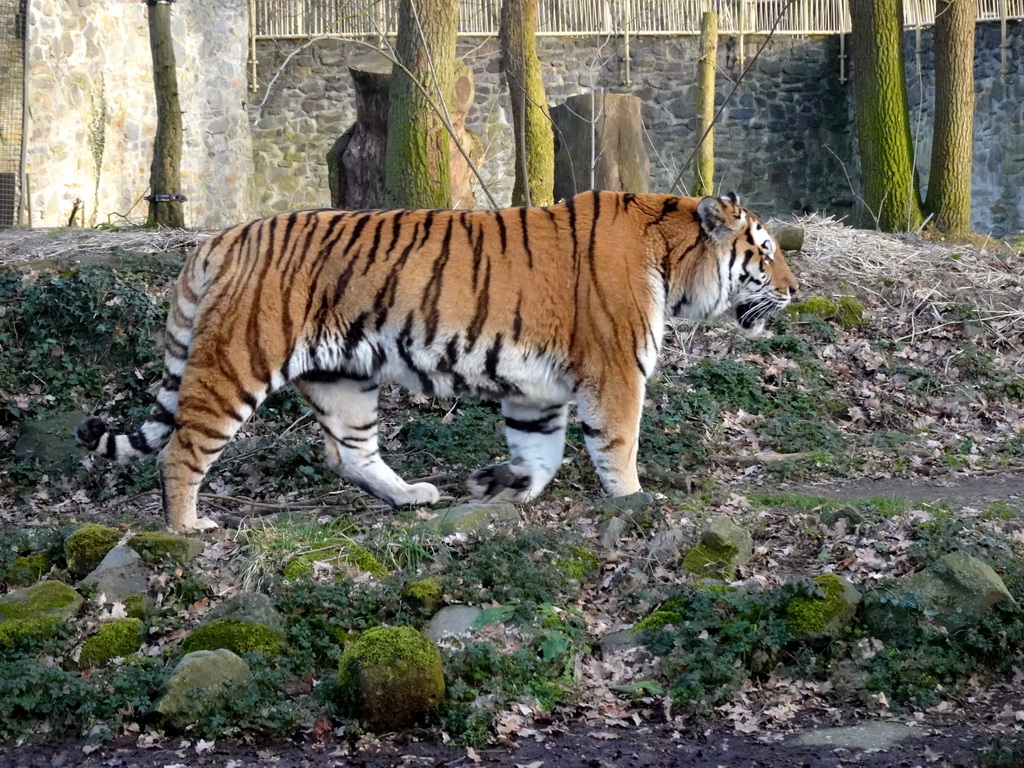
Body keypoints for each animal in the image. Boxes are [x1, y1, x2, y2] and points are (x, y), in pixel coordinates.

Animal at [79, 189, 798, 532]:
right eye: (765, 252)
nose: (797, 289)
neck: (673, 261)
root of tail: (223, 238)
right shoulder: (615, 370)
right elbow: (617, 445)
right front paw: (634, 501)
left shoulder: (536, 391)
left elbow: (540, 451)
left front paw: (503, 485)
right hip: (236, 363)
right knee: (181, 451)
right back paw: (187, 527)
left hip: (344, 377)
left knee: (349, 453)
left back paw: (412, 496)